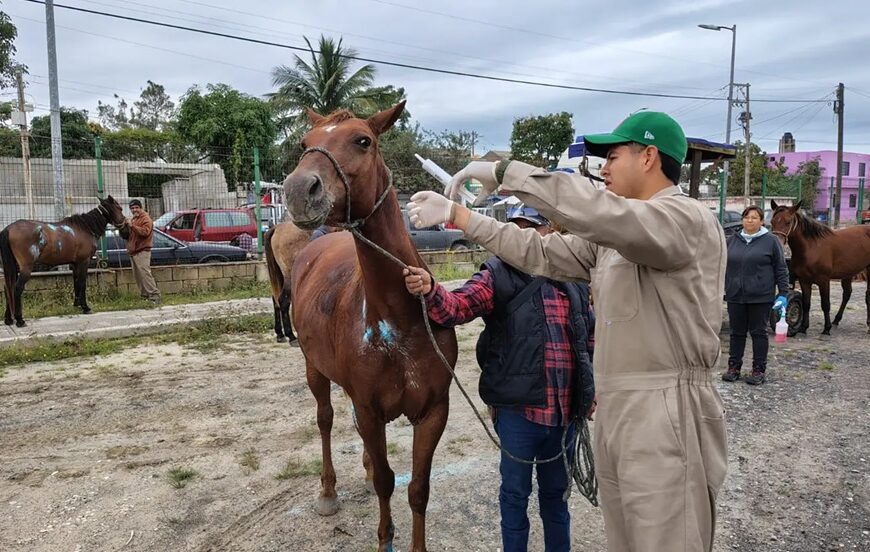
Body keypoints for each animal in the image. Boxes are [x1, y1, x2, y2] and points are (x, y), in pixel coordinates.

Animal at [1, 195, 126, 327]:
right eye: (120, 208)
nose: (124, 223)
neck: (85, 228)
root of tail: (9, 229)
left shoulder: (75, 264)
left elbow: (76, 283)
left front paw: (77, 305)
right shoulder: (84, 262)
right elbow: (82, 283)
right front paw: (86, 308)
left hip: (13, 267)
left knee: (8, 287)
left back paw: (8, 319)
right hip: (26, 267)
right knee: (17, 288)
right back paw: (20, 320)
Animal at [283, 101, 457, 552]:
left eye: (363, 140)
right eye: (304, 144)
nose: (298, 191)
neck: (399, 318)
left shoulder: (434, 411)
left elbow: (418, 489)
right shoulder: (370, 407)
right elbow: (385, 481)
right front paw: (384, 538)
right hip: (314, 368)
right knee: (326, 419)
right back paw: (328, 491)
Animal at [770, 200, 870, 335]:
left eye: (788, 222)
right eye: (772, 222)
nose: (777, 243)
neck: (812, 247)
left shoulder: (824, 280)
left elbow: (825, 304)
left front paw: (826, 328)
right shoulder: (804, 280)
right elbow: (806, 303)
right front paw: (803, 327)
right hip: (848, 273)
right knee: (847, 294)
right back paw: (836, 320)